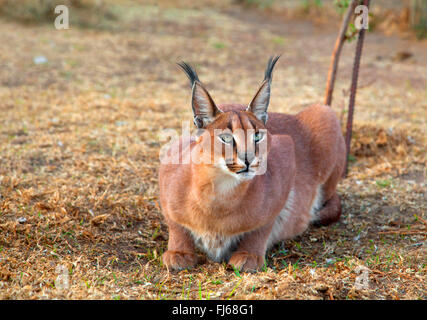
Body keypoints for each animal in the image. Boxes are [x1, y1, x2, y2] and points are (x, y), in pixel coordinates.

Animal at [159, 56, 346, 272]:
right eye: (226, 138)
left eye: (257, 136)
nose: (248, 159)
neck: (218, 193)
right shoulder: (169, 164)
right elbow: (175, 223)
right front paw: (179, 252)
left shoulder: (285, 159)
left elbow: (263, 225)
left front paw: (249, 254)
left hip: (325, 113)